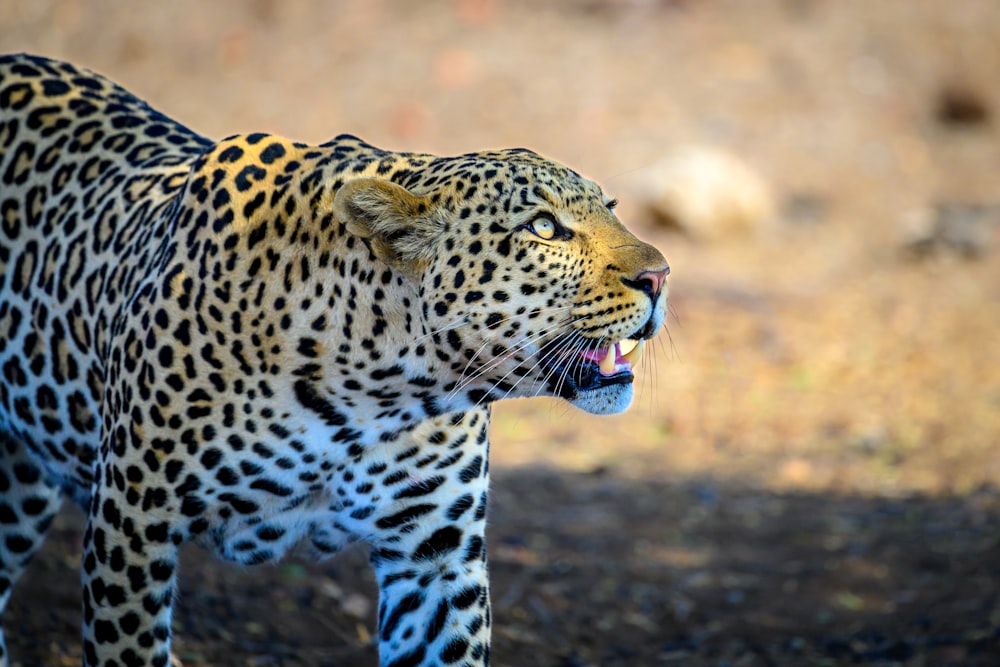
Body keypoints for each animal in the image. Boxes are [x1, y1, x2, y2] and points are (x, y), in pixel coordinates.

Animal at [0, 54, 672, 667]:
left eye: (612, 207)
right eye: (543, 228)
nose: (661, 275)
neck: (380, 389)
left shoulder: (435, 559)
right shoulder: (134, 523)